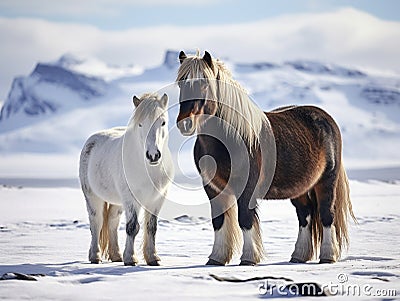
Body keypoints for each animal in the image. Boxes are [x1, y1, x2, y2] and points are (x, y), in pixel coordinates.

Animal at [79, 92, 173, 264]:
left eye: (163, 122)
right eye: (140, 124)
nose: (153, 155)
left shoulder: (157, 198)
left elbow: (151, 227)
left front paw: (153, 257)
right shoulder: (131, 198)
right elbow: (132, 227)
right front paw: (130, 258)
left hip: (118, 203)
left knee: (112, 222)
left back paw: (116, 255)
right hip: (93, 196)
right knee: (96, 223)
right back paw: (95, 256)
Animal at [176, 49, 356, 264]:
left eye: (204, 84)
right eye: (180, 83)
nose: (185, 124)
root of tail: (326, 119)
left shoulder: (247, 187)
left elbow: (245, 219)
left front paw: (249, 258)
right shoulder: (211, 187)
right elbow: (218, 221)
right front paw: (216, 258)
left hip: (326, 181)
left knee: (326, 214)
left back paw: (328, 256)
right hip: (300, 188)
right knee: (305, 215)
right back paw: (298, 255)